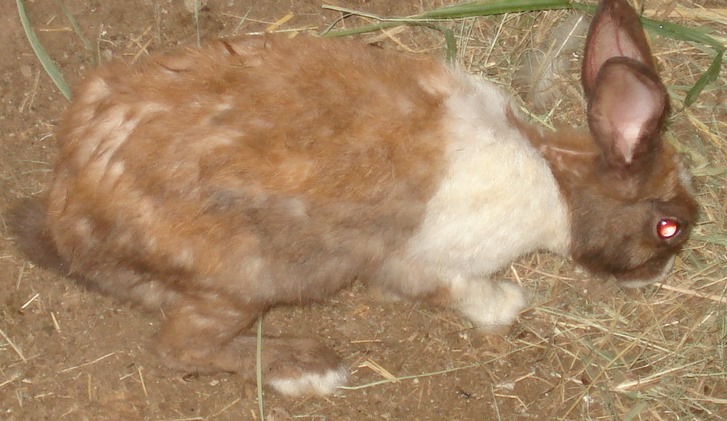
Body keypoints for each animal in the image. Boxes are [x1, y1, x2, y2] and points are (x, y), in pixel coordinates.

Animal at [22, 0, 700, 396]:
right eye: (668, 227)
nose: (663, 274)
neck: (556, 186)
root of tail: (70, 207)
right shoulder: (437, 264)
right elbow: (469, 296)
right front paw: (511, 303)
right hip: (240, 281)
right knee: (178, 348)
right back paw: (309, 368)